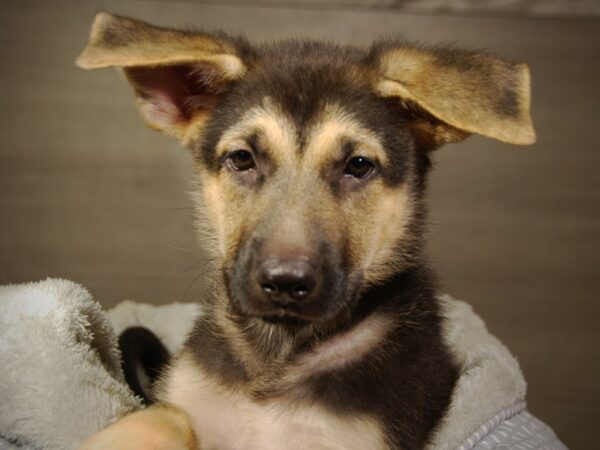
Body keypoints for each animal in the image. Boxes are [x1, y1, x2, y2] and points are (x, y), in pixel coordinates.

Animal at [76, 13, 536, 450]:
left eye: (359, 165)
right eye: (242, 158)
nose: (284, 283)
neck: (279, 354)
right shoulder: (191, 400)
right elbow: (161, 418)